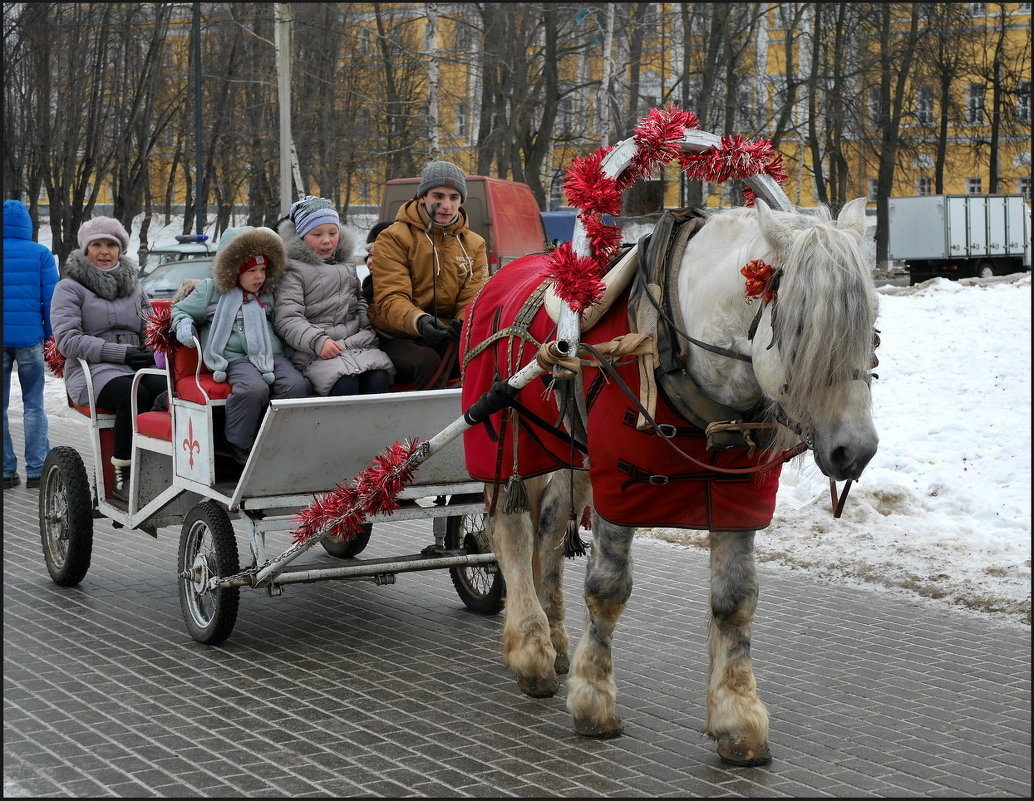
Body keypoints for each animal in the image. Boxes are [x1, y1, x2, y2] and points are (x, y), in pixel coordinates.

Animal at [465, 197, 876, 768]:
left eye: (872, 327)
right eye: (799, 328)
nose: (855, 450)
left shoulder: (736, 496)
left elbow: (735, 600)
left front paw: (737, 717)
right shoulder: (619, 487)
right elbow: (607, 590)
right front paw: (593, 702)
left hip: (571, 456)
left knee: (547, 539)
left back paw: (555, 636)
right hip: (511, 441)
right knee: (512, 532)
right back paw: (531, 650)